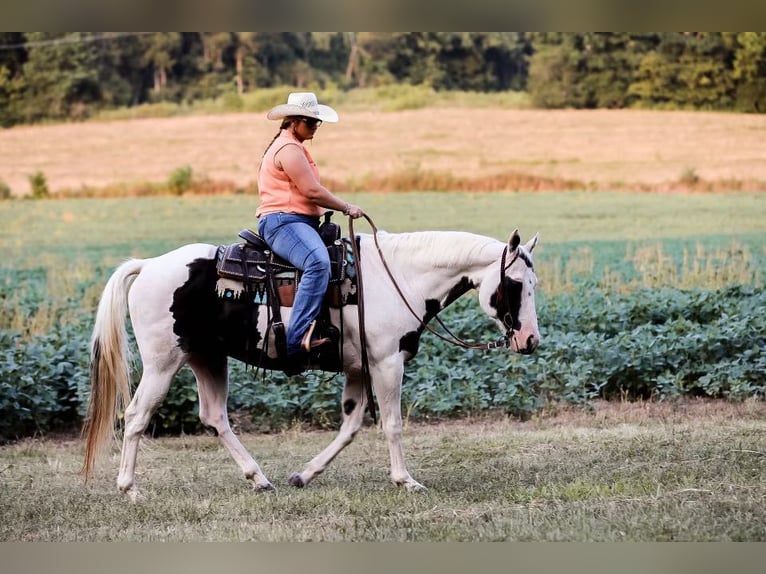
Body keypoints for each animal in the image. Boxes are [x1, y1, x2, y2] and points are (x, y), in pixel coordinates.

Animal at [82, 227, 540, 498]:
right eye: (516, 284)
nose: (531, 340)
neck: (400, 278)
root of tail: (148, 266)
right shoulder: (388, 363)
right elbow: (392, 424)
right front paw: (405, 480)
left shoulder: (359, 369)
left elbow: (351, 426)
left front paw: (304, 475)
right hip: (163, 363)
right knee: (137, 416)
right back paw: (129, 488)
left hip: (206, 358)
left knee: (214, 417)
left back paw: (259, 479)